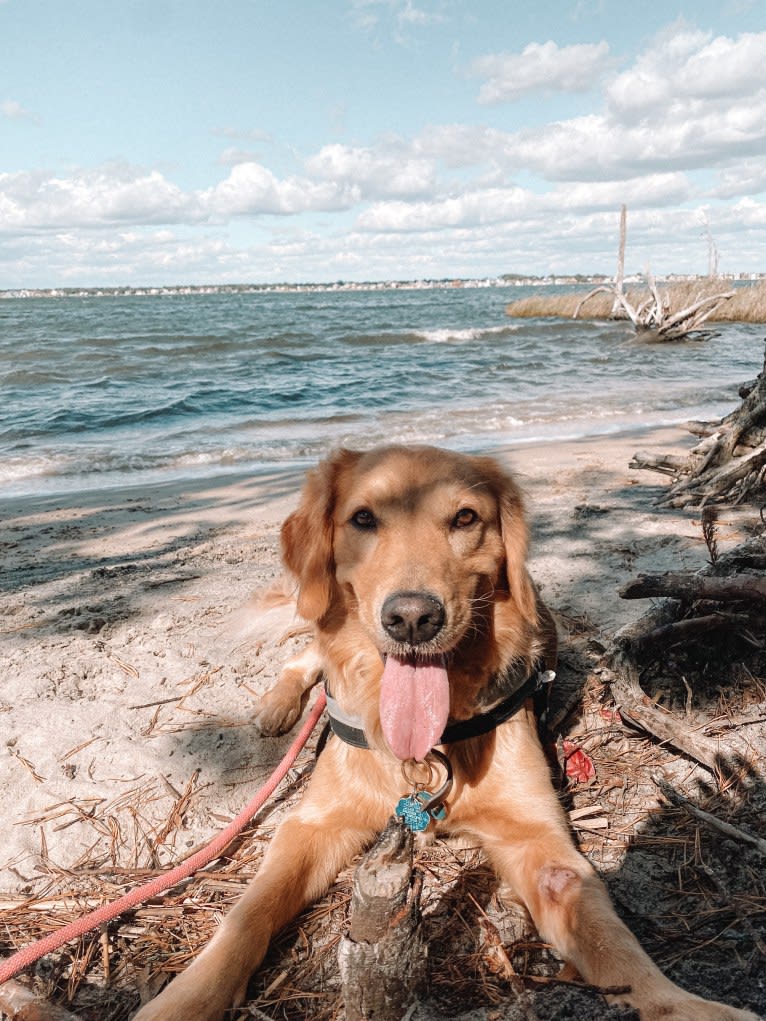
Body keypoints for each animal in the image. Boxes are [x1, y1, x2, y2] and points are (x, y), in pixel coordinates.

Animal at [134, 447, 759, 1021]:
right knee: (307, 653)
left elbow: (609, 936)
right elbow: (248, 913)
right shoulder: (312, 824)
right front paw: (184, 999)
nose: (412, 619)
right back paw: (278, 705)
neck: (429, 747)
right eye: (363, 518)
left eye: (464, 518)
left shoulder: (538, 837)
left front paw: (684, 1006)